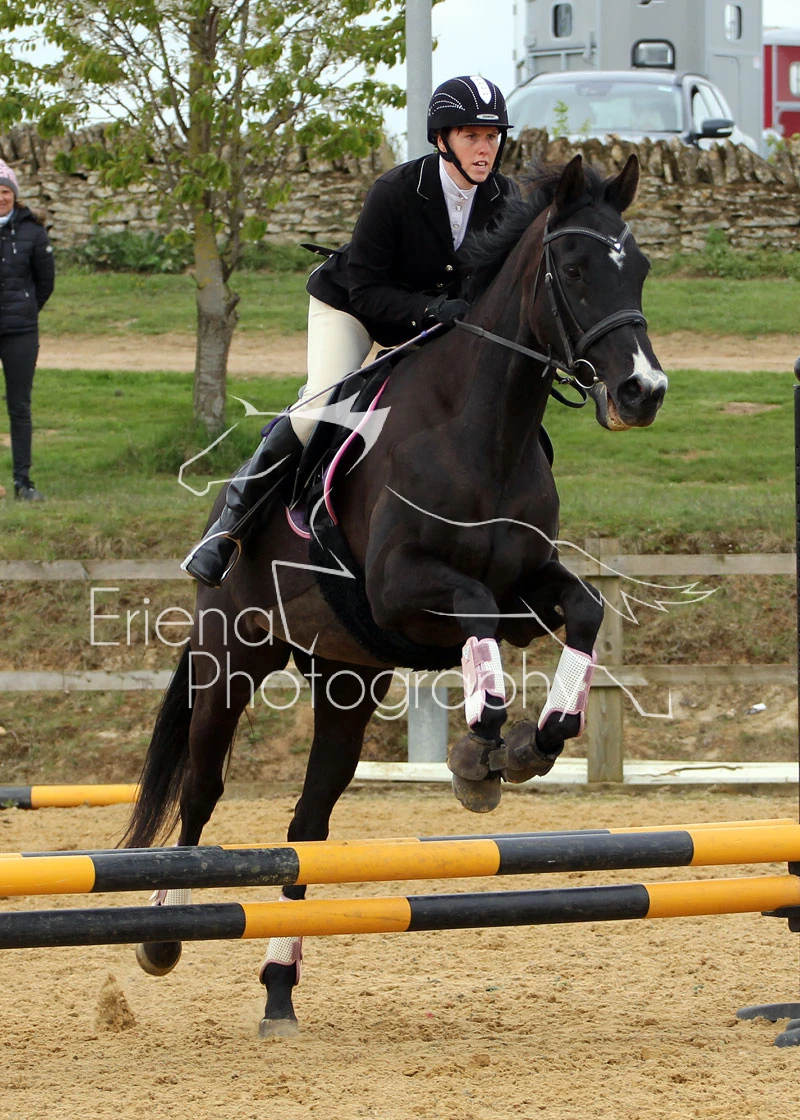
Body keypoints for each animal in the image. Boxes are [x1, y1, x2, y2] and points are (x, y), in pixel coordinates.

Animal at [122, 153, 668, 1036]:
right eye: (577, 271)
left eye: (641, 267)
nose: (643, 392)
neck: (482, 430)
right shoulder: (399, 587)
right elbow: (474, 611)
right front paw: (483, 749)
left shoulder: (526, 587)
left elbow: (582, 612)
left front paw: (529, 742)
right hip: (232, 654)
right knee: (201, 792)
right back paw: (161, 936)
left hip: (345, 681)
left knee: (307, 826)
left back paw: (279, 988)